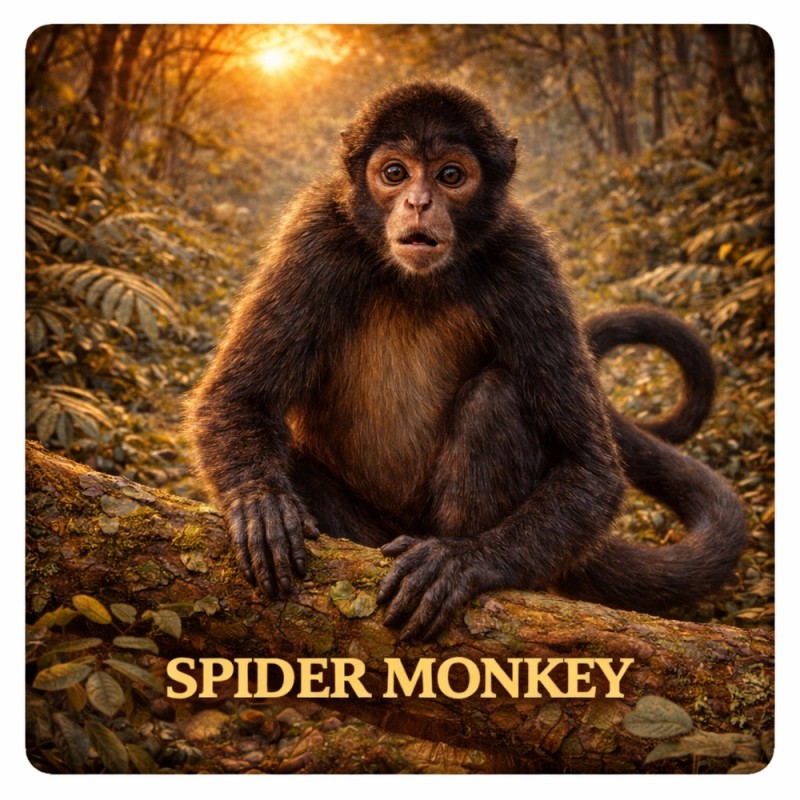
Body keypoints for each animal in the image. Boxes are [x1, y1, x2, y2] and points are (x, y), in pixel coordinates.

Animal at [187, 81, 746, 642]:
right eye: (395, 173)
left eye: (450, 176)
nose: (418, 202)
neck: (416, 284)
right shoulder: (315, 235)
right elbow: (238, 398)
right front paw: (261, 503)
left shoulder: (527, 260)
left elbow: (590, 468)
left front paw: (464, 560)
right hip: (367, 531)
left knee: (493, 398)